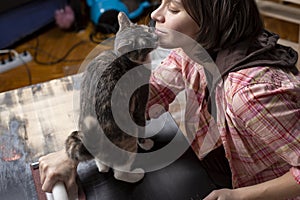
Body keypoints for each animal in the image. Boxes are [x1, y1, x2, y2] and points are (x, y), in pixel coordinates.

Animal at [64, 12, 158, 183]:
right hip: (128, 136)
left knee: (103, 165)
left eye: (147, 29)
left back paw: (103, 166)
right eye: (145, 43)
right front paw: (146, 144)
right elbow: (142, 125)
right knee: (119, 173)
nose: (156, 35)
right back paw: (136, 175)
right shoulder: (140, 103)